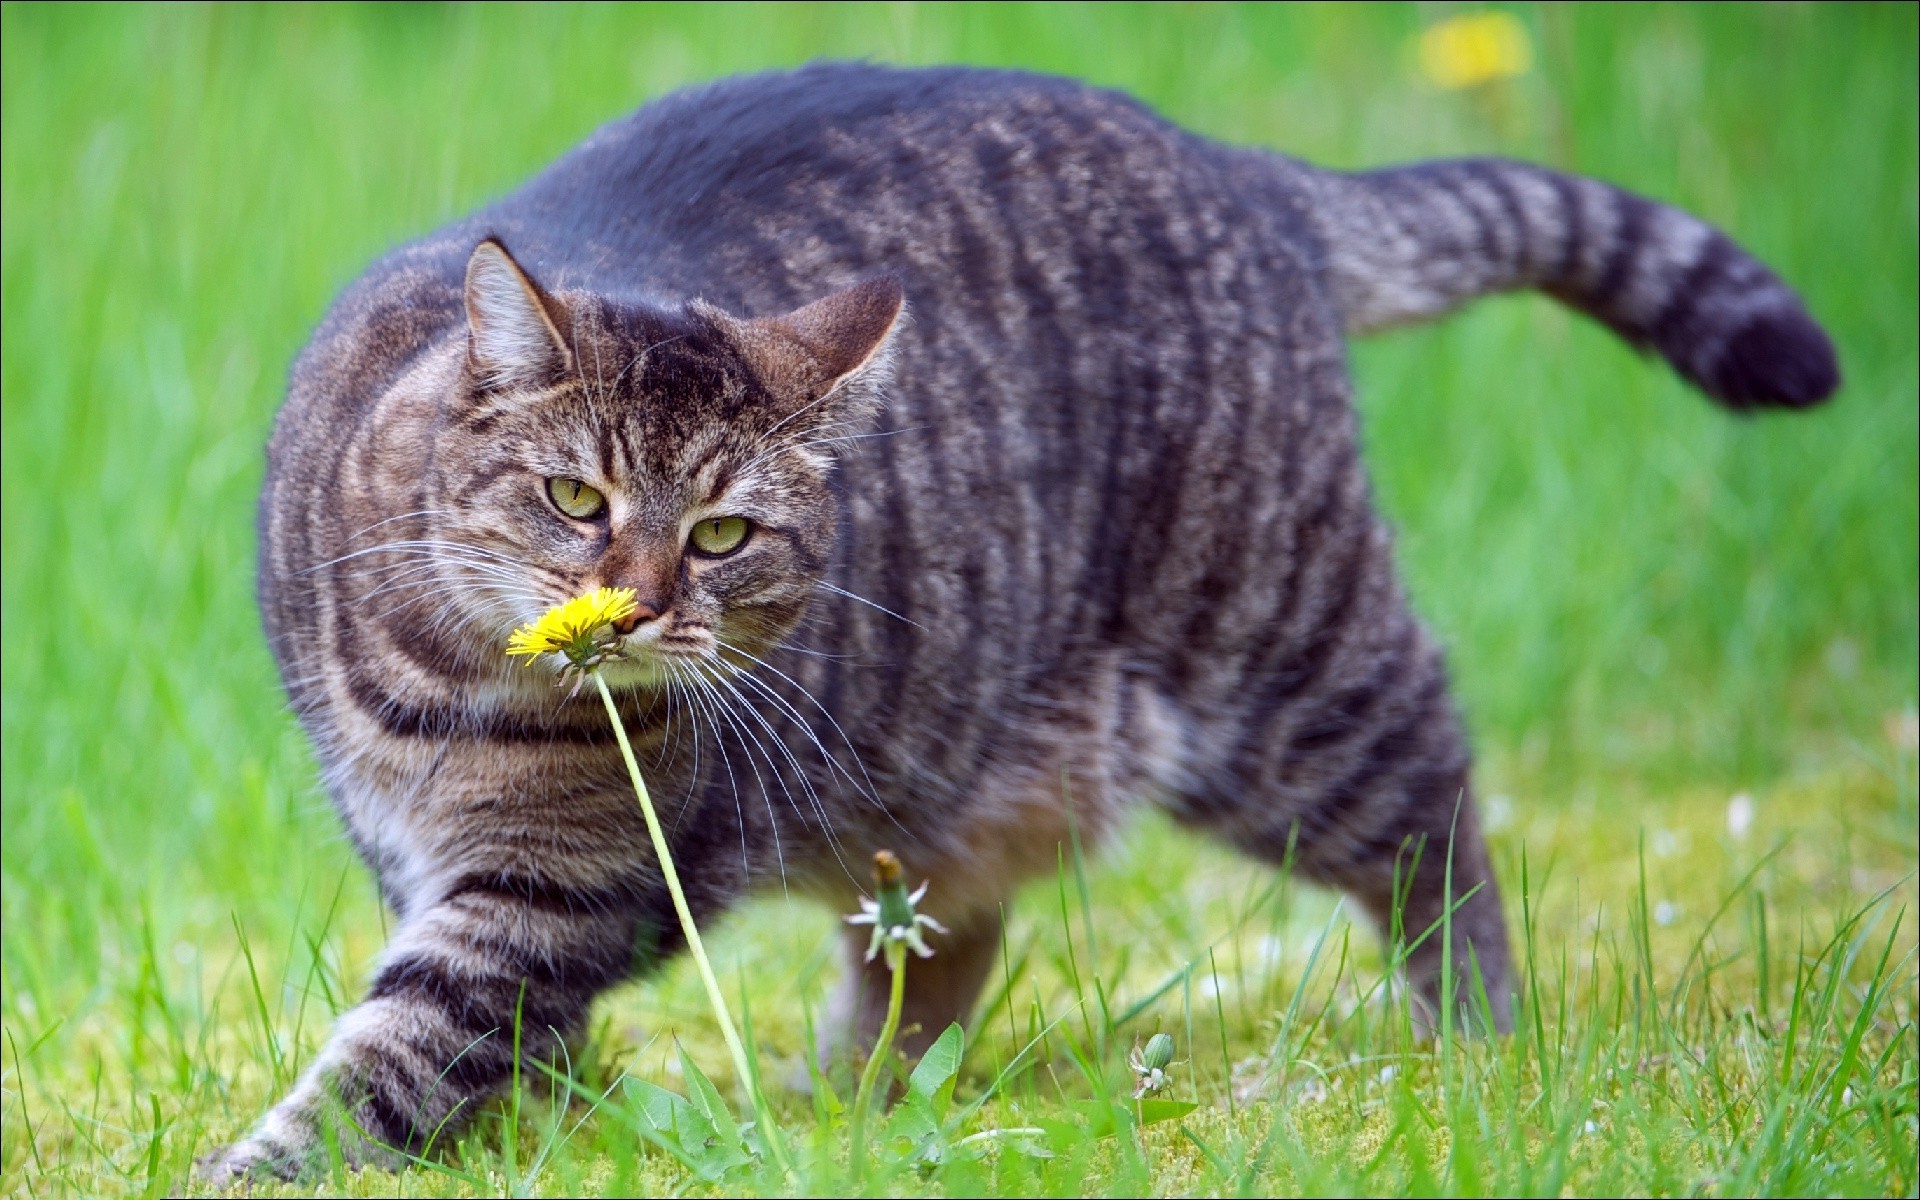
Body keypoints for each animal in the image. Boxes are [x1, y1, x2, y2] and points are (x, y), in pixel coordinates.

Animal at [202, 63, 1835, 1182]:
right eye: (573, 498)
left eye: (722, 534)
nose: (643, 607)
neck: (450, 690)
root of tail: (1233, 166)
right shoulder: (408, 845)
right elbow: (485, 1038)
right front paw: (537, 1127)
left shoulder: (565, 882)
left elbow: (411, 1045)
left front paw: (271, 1166)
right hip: (949, 756)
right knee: (942, 930)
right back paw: (850, 1104)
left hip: (1282, 666)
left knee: (1432, 798)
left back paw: (1477, 1032)